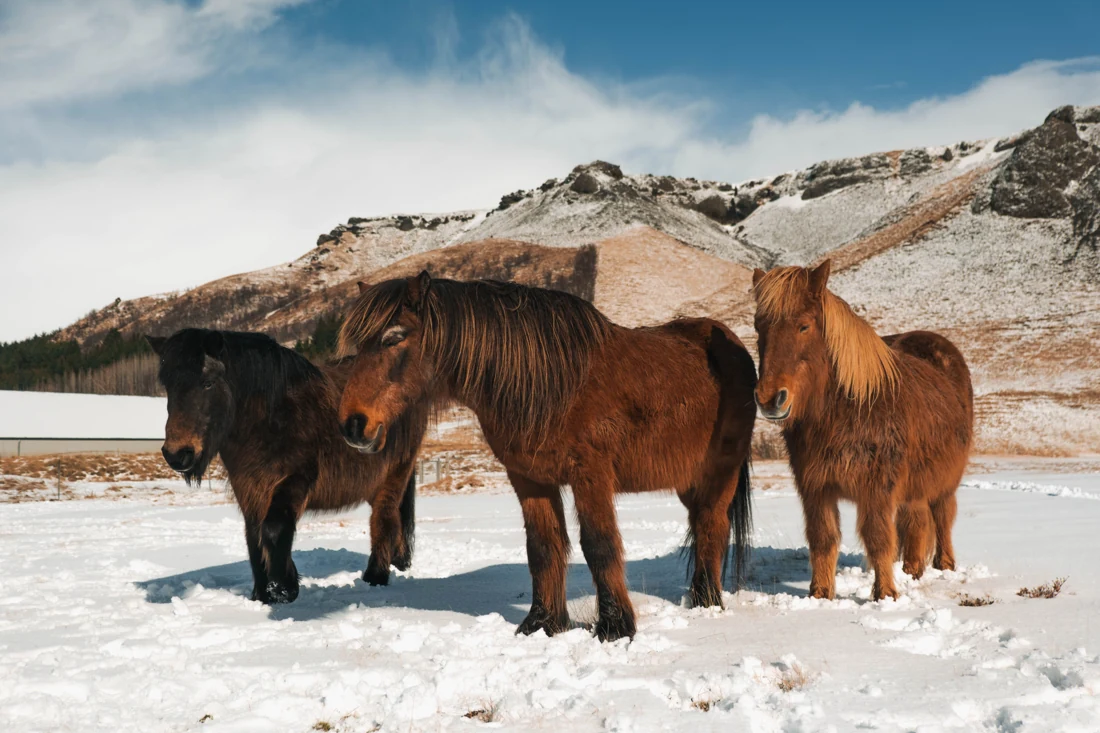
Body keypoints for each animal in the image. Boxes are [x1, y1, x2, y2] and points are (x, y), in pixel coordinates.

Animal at [146, 328, 428, 604]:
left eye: (207, 383)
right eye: (168, 386)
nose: (177, 454)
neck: (272, 419)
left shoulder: (295, 480)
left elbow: (273, 529)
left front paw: (284, 586)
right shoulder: (249, 489)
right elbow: (254, 537)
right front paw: (262, 594)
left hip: (394, 476)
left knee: (384, 521)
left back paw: (375, 578)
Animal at [335, 272, 757, 642]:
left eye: (394, 337)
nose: (353, 425)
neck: (552, 382)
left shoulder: (591, 475)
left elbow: (599, 545)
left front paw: (615, 628)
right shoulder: (530, 479)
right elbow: (542, 548)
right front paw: (543, 623)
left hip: (720, 473)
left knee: (712, 526)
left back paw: (707, 602)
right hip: (689, 481)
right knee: (702, 525)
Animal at [751, 260, 973, 601]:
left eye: (804, 326)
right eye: (757, 327)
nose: (769, 399)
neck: (850, 409)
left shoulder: (876, 489)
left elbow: (878, 538)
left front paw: (886, 595)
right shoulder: (815, 488)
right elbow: (823, 538)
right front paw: (820, 595)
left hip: (944, 482)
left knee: (942, 516)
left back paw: (943, 566)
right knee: (916, 520)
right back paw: (912, 570)